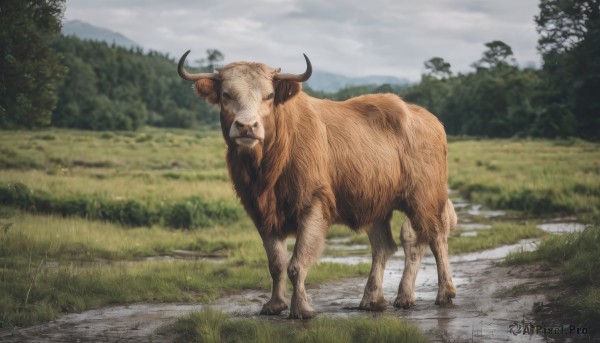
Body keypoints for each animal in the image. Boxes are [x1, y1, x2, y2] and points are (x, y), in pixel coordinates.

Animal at [176, 51, 458, 320]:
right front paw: (274, 305)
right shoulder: (261, 212)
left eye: (269, 95)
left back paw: (443, 293)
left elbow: (297, 263)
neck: (270, 164)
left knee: (434, 238)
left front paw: (301, 309)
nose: (247, 126)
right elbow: (276, 264)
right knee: (388, 246)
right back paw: (378, 299)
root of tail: (430, 119)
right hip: (377, 205)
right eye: (226, 94)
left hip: (424, 198)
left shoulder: (313, 205)